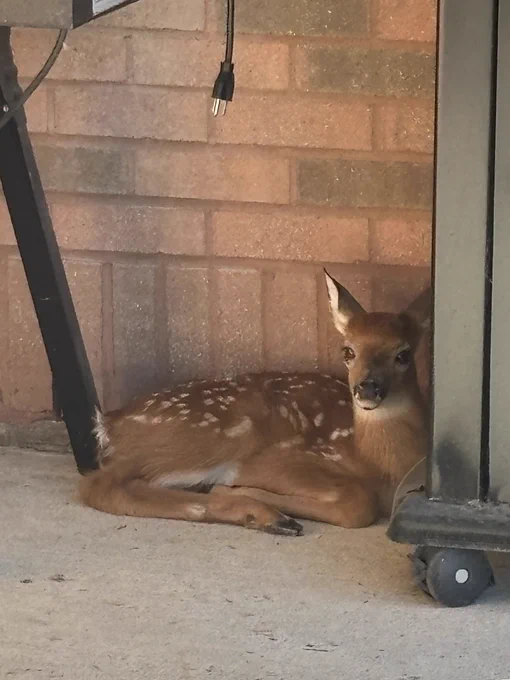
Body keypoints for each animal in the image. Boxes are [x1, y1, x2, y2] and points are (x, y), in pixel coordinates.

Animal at [79, 271, 430, 537]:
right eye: (348, 351)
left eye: (403, 354)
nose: (367, 389)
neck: (381, 465)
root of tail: (110, 423)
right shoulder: (283, 458)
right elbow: (359, 502)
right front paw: (239, 492)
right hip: (220, 434)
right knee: (102, 486)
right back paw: (267, 515)